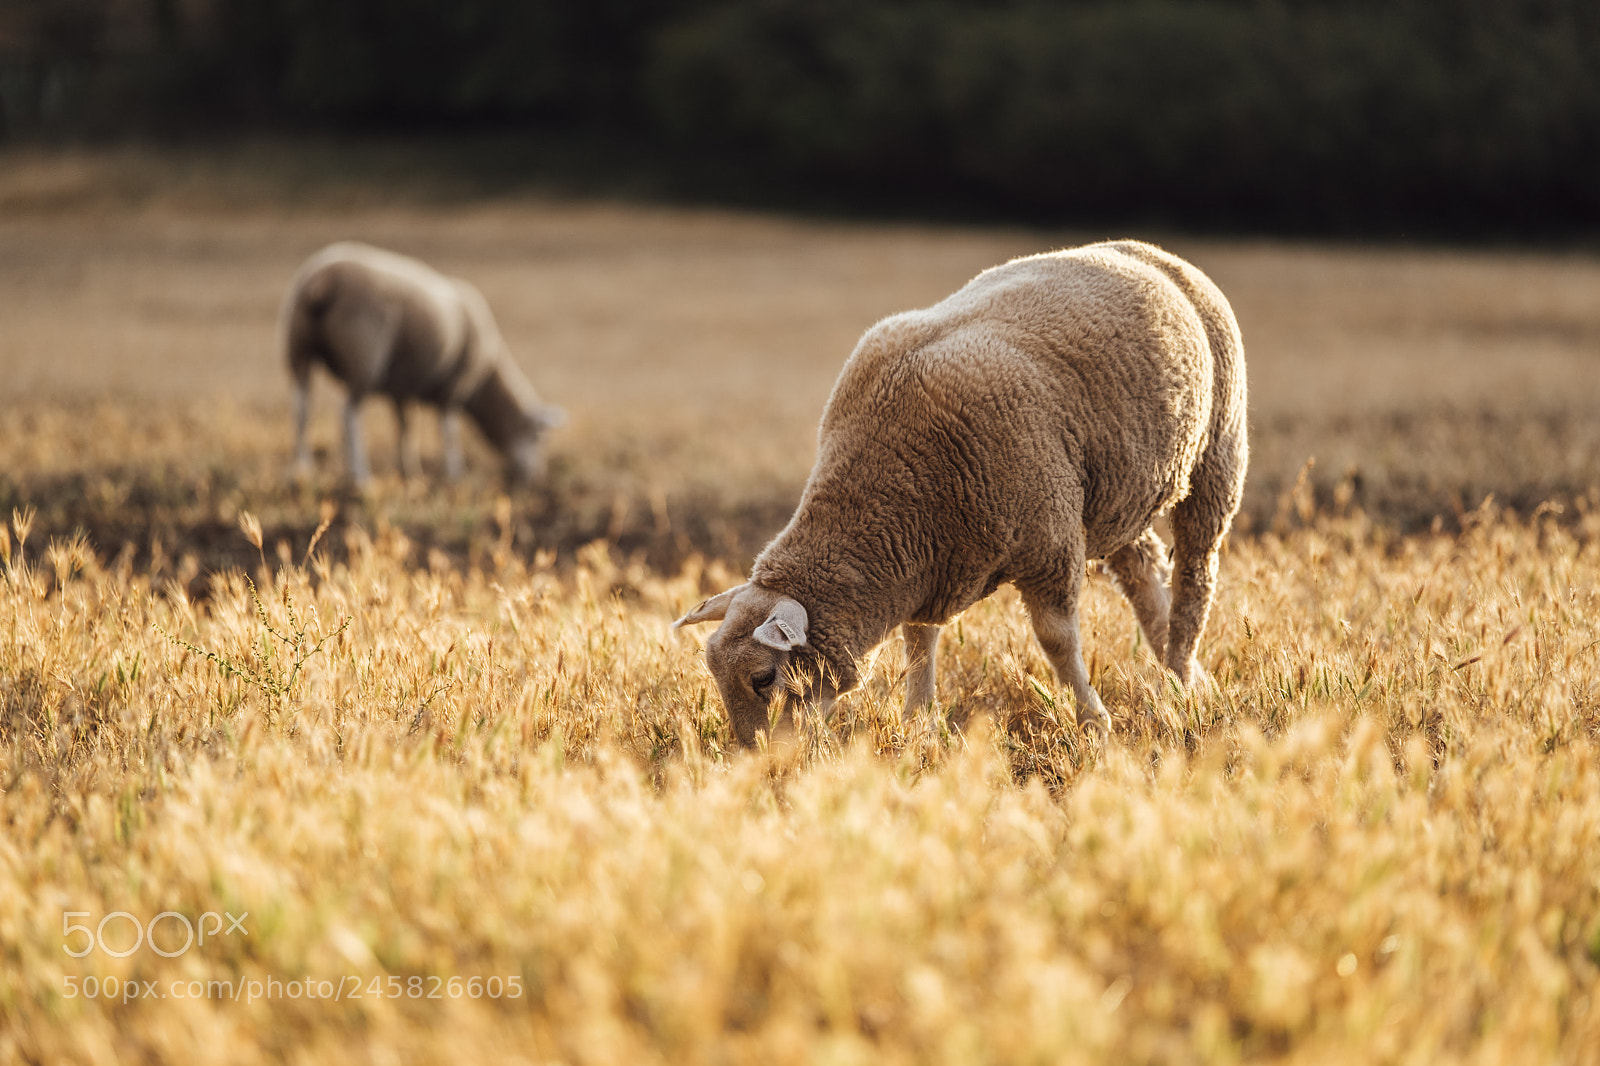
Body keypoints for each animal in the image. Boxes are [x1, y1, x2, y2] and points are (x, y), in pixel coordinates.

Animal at [282, 241, 565, 485]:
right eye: (539, 437)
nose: (537, 478)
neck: (484, 387)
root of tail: (322, 281)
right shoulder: (456, 385)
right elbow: (448, 430)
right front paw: (455, 473)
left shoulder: (402, 388)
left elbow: (406, 428)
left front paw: (409, 470)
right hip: (364, 357)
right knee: (348, 415)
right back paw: (360, 475)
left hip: (298, 348)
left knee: (302, 408)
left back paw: (302, 470)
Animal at [674, 240, 1247, 748]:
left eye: (763, 678)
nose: (757, 758)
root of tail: (1149, 251)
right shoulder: (931, 566)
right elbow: (918, 643)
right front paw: (918, 725)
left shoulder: (1050, 543)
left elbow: (1057, 640)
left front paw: (1093, 723)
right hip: (1119, 493)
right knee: (1144, 569)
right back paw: (1187, 676)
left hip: (1217, 452)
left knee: (1196, 576)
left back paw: (1179, 680)